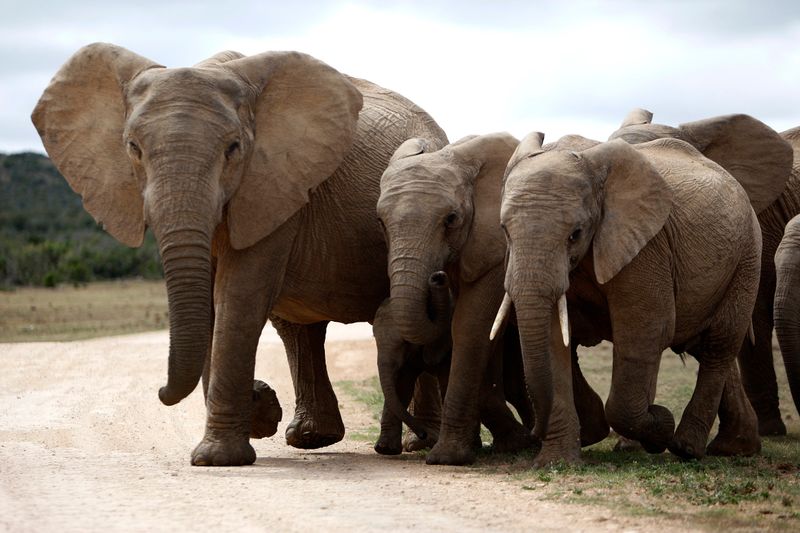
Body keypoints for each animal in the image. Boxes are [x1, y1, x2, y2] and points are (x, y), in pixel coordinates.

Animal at [32, 43, 449, 466]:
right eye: (133, 149)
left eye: (233, 149)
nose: (161, 392)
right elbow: (212, 304)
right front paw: (255, 418)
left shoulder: (275, 181)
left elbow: (237, 295)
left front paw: (217, 456)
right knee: (297, 326)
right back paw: (312, 438)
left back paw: (418, 443)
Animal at [375, 132, 606, 465]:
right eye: (380, 222)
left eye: (451, 219)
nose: (436, 278)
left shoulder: (496, 254)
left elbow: (470, 326)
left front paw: (447, 458)